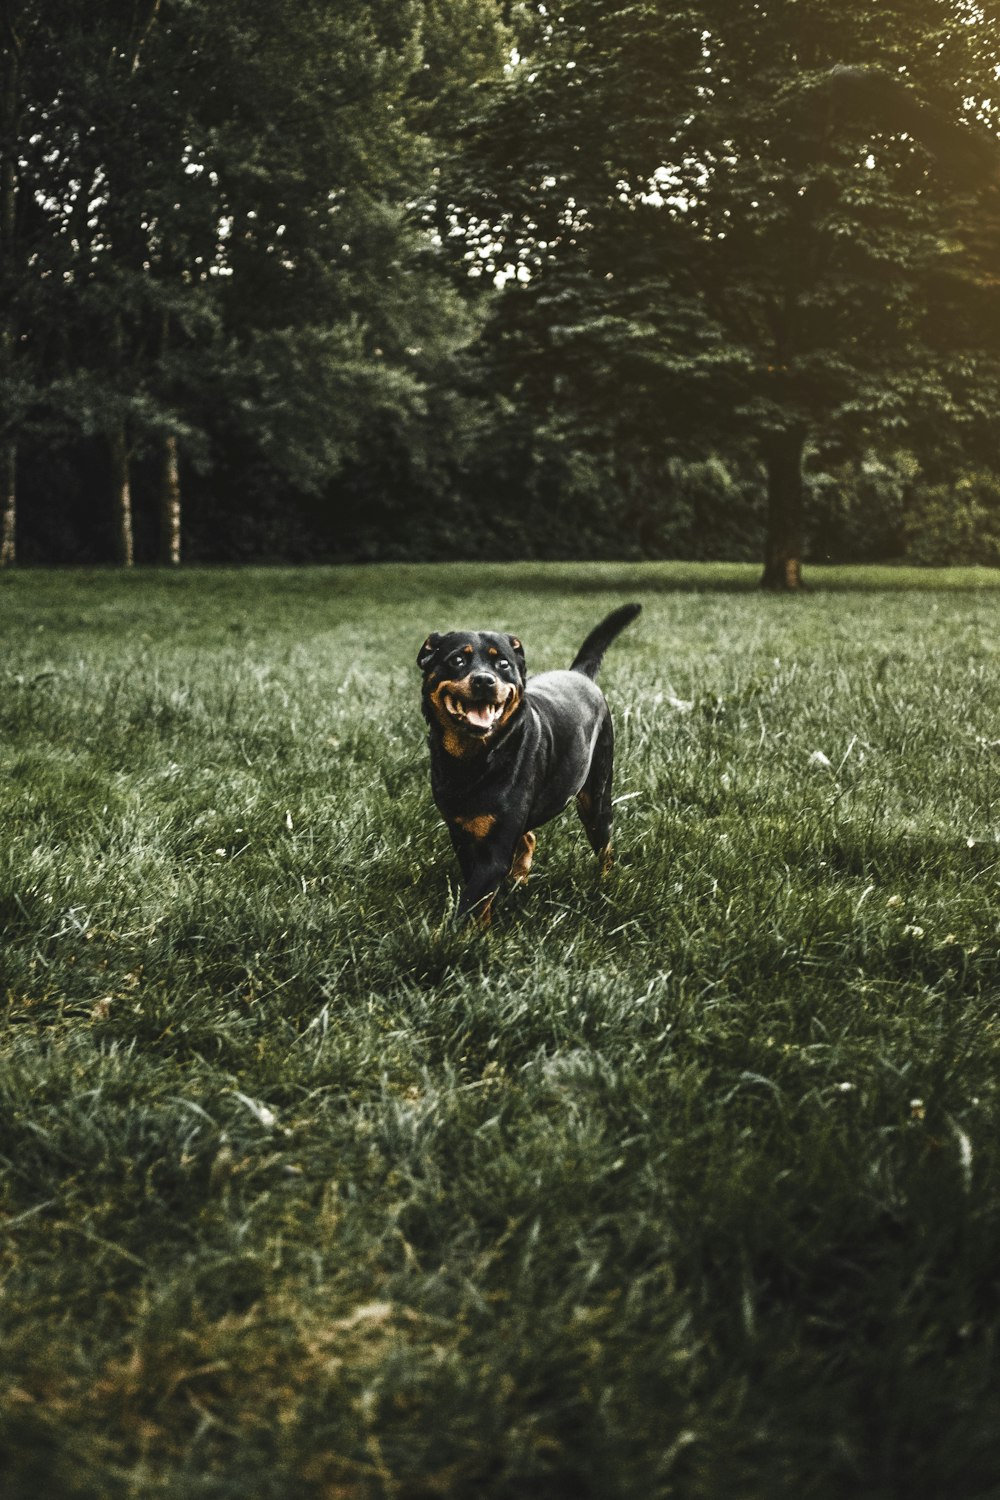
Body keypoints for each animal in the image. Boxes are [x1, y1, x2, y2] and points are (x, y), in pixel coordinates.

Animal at [416, 603, 641, 918]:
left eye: (503, 664)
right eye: (457, 659)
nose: (484, 680)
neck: (475, 759)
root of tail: (579, 674)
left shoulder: (495, 850)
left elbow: (472, 905)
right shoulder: (461, 834)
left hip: (596, 795)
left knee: (604, 844)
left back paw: (606, 882)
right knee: (530, 838)